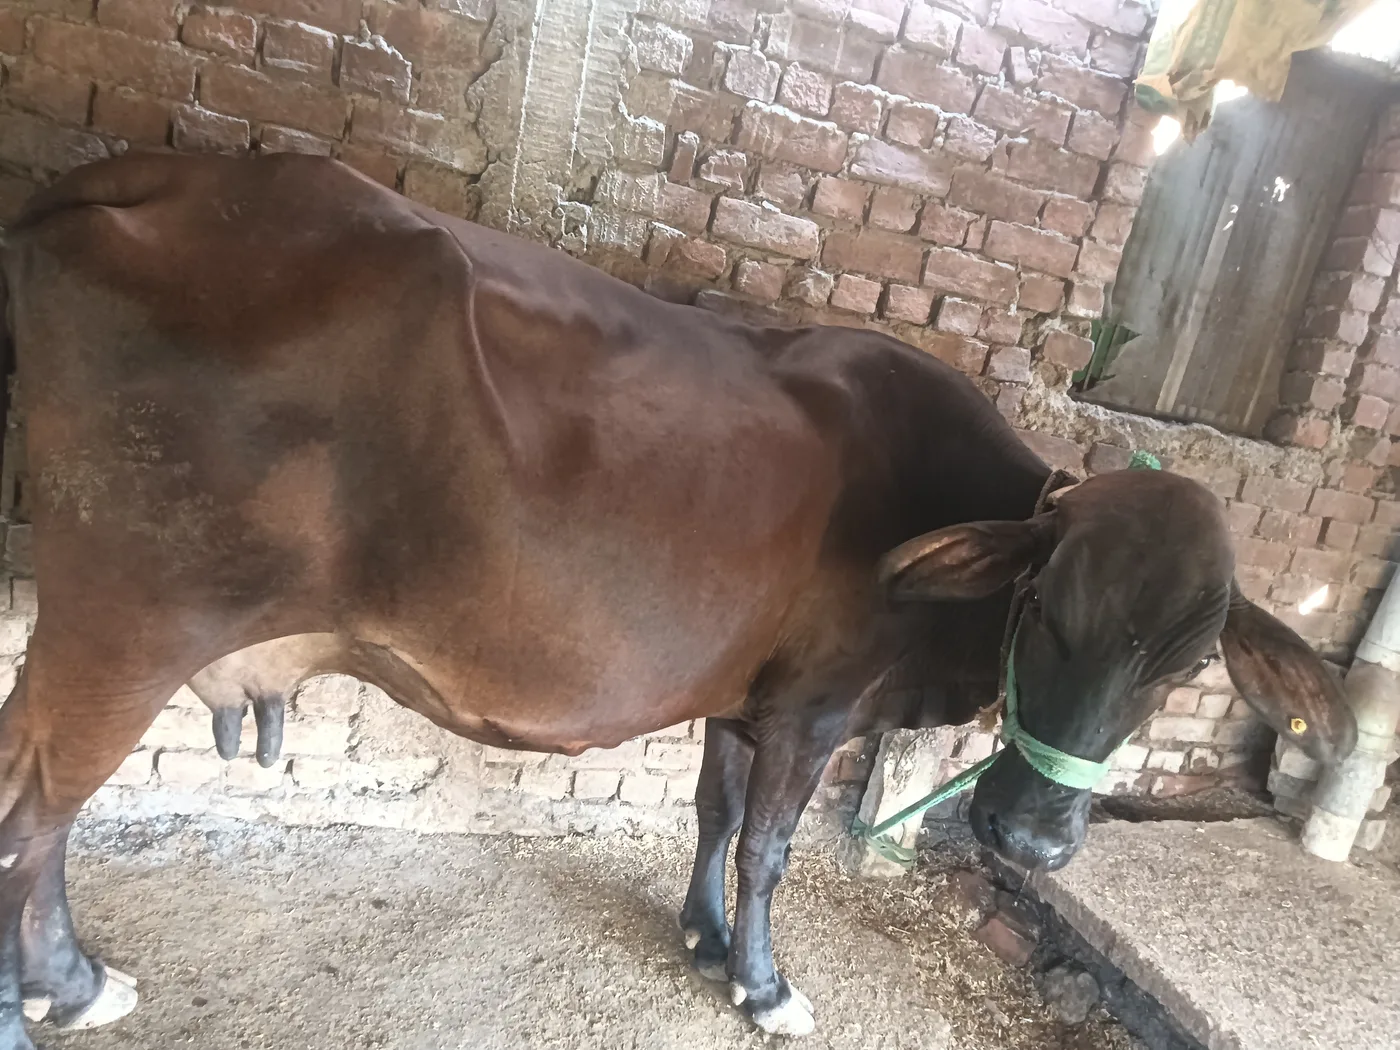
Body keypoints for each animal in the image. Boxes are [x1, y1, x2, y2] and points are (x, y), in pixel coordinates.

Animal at [0, 152, 1356, 1047]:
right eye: (1041, 608)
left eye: (1185, 665)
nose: (1028, 844)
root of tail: (152, 173)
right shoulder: (813, 709)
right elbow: (766, 847)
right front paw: (761, 981)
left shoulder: (740, 694)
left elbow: (710, 815)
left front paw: (699, 936)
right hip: (125, 618)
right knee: (37, 809)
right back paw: (68, 987)